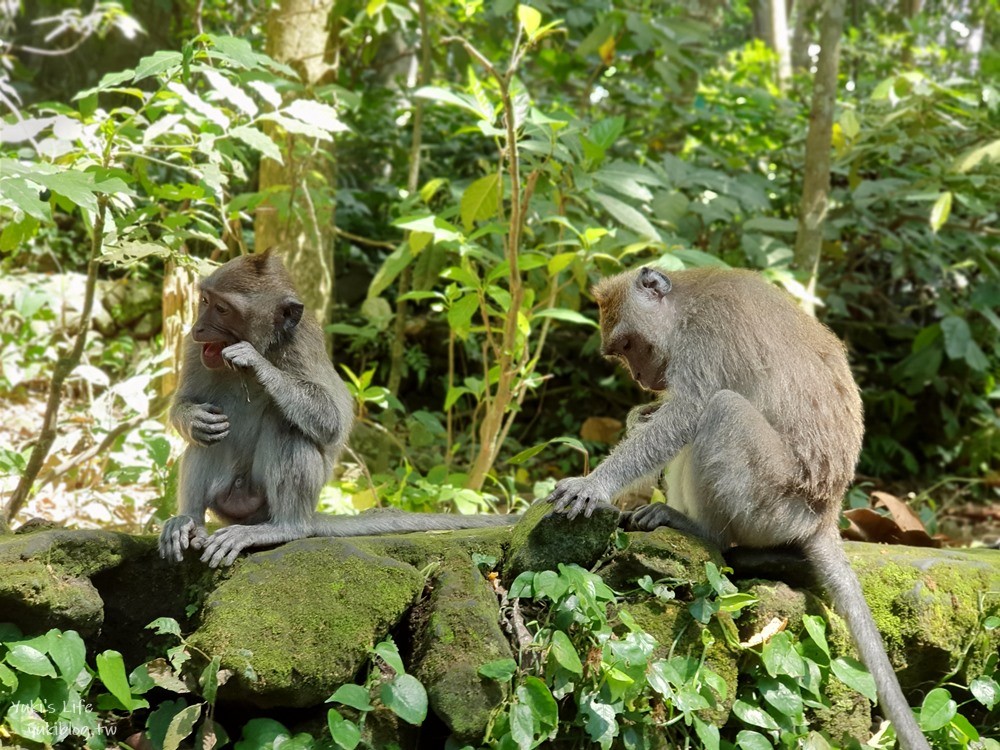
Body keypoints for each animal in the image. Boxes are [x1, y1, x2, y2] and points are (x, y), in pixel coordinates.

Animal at [161, 250, 516, 568]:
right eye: (204, 301)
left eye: (222, 309)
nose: (198, 329)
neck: (267, 343)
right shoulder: (193, 350)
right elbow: (184, 406)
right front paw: (193, 418)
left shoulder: (302, 347)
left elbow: (333, 421)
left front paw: (255, 362)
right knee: (207, 440)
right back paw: (190, 522)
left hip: (264, 505)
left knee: (287, 426)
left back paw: (282, 529)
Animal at [548, 268, 928, 750]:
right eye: (621, 353)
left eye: (630, 345)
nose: (641, 379)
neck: (684, 305)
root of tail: (824, 514)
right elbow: (665, 422)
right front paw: (639, 415)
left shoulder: (704, 341)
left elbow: (685, 415)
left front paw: (593, 485)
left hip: (770, 504)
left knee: (721, 410)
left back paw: (698, 528)